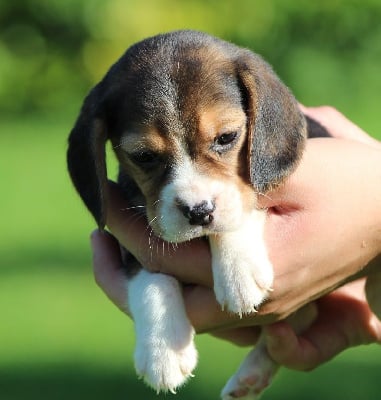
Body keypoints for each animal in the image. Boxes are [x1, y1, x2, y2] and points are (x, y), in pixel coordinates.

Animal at [69, 29, 330, 398]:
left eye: (227, 137)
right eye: (144, 156)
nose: (198, 212)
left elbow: (243, 204)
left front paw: (238, 271)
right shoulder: (137, 239)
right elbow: (150, 276)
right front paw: (162, 350)